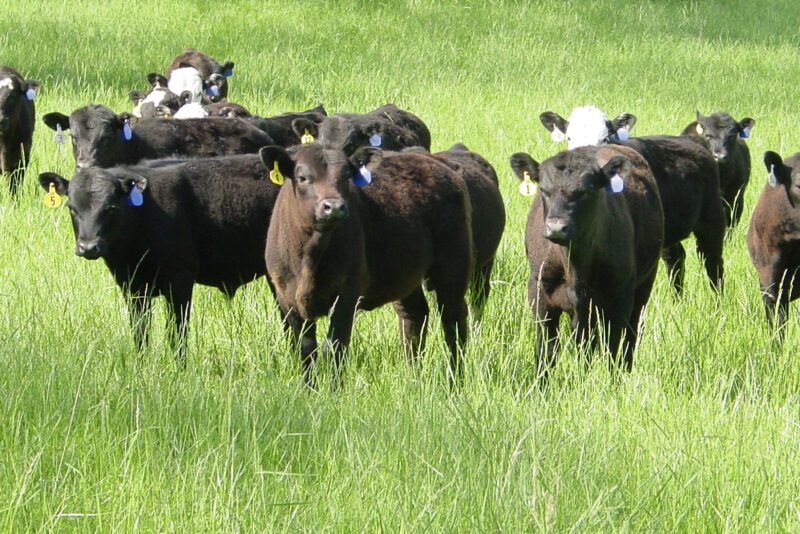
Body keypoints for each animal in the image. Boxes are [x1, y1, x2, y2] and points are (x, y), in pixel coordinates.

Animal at [38, 154, 280, 358]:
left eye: (111, 208)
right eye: (71, 207)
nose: (88, 247)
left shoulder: (180, 282)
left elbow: (177, 335)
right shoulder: (132, 287)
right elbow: (140, 333)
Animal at [261, 142, 473, 386]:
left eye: (346, 176)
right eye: (302, 177)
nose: (334, 207)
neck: (309, 258)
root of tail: (439, 163)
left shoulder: (347, 294)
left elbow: (334, 347)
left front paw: (333, 390)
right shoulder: (286, 298)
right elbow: (305, 350)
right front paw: (309, 389)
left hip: (452, 265)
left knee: (453, 319)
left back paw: (455, 380)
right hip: (404, 273)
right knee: (415, 314)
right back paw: (413, 376)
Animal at [509, 145, 664, 377]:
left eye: (585, 191)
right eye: (544, 190)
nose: (556, 228)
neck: (574, 268)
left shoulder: (619, 298)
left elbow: (612, 349)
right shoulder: (539, 294)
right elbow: (546, 349)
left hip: (643, 287)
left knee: (631, 335)